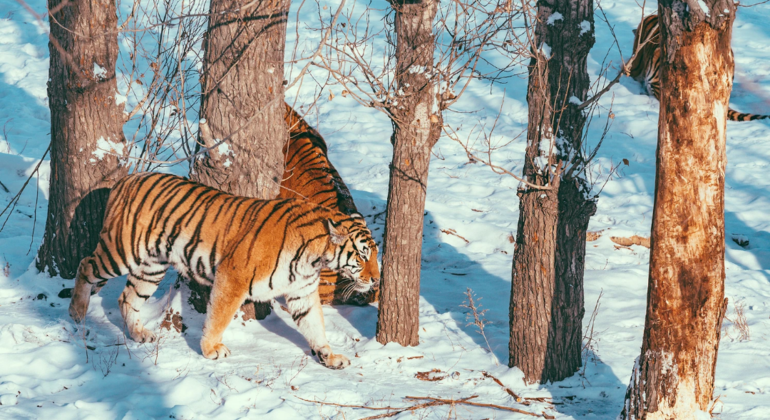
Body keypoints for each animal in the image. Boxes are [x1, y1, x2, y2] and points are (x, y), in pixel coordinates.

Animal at [67, 172, 379, 369]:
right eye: (363, 255)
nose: (376, 279)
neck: (315, 258)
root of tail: (126, 179)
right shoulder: (233, 277)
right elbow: (219, 317)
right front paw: (211, 350)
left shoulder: (301, 292)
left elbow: (315, 325)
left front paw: (329, 357)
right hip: (122, 251)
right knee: (85, 264)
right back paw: (77, 311)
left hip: (151, 266)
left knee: (128, 298)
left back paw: (138, 334)